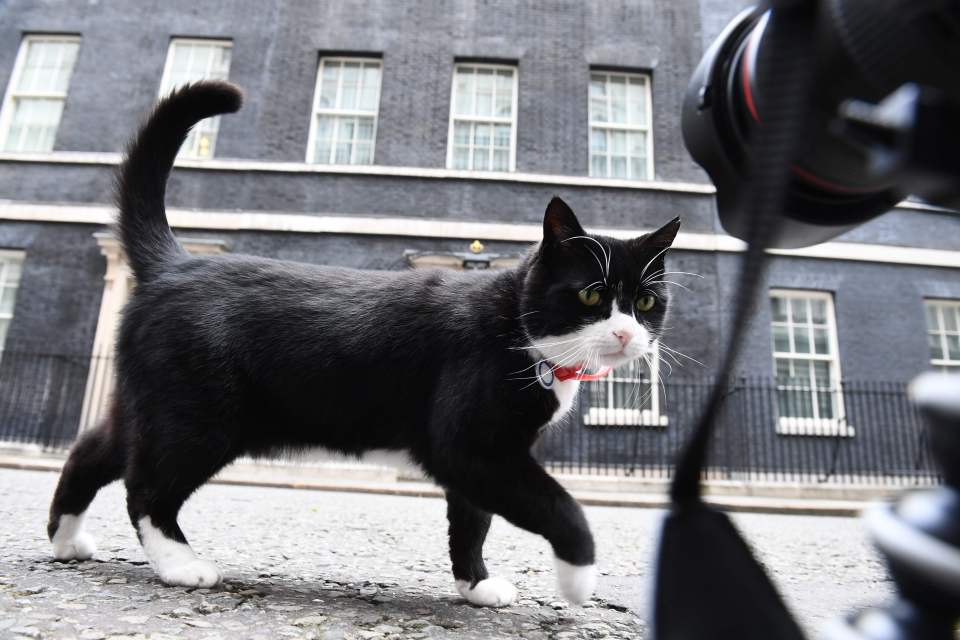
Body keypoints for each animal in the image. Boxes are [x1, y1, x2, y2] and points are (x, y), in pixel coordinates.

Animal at [43, 82, 676, 608]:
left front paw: (475, 586)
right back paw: (179, 564)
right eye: (592, 295)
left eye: (647, 303)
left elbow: (472, 521)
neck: (519, 333)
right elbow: (557, 504)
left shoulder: (481, 460)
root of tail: (173, 264)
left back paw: (67, 539)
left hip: (151, 404)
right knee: (146, 488)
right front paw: (579, 578)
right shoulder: (472, 446)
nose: (626, 333)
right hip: (199, 418)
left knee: (93, 451)